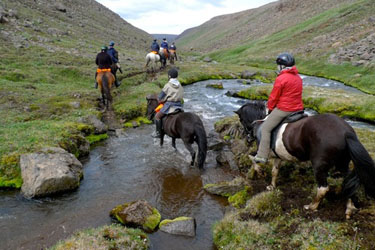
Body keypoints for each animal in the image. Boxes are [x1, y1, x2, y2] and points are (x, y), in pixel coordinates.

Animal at [235, 100, 375, 218]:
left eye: (241, 119)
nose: (248, 139)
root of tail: (346, 132)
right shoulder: (278, 156)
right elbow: (275, 171)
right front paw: (272, 186)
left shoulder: (264, 153)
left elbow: (252, 157)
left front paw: (260, 172)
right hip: (343, 164)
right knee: (349, 182)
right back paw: (349, 208)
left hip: (319, 166)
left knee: (323, 188)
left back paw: (311, 206)